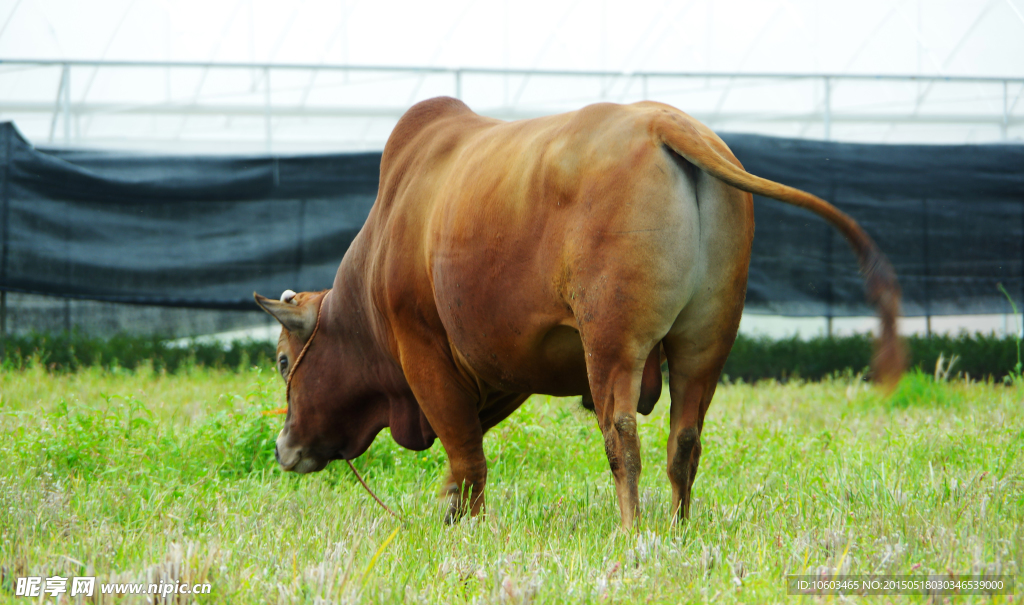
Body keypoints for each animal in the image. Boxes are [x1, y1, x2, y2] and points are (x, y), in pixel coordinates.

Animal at [256, 95, 905, 532]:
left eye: (284, 362)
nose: (283, 447)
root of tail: (664, 121)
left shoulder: (425, 353)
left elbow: (466, 458)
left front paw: (460, 529)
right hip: (706, 339)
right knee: (685, 439)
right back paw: (677, 529)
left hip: (611, 342)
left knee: (622, 438)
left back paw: (631, 531)